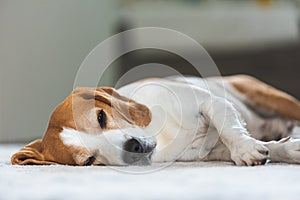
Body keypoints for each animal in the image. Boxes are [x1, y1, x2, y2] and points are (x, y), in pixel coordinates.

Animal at [11, 74, 300, 166]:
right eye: (89, 161)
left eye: (101, 117)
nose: (133, 147)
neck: (162, 136)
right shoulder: (211, 152)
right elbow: (269, 147)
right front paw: (285, 149)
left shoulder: (212, 103)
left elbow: (230, 130)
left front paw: (246, 148)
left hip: (265, 96)